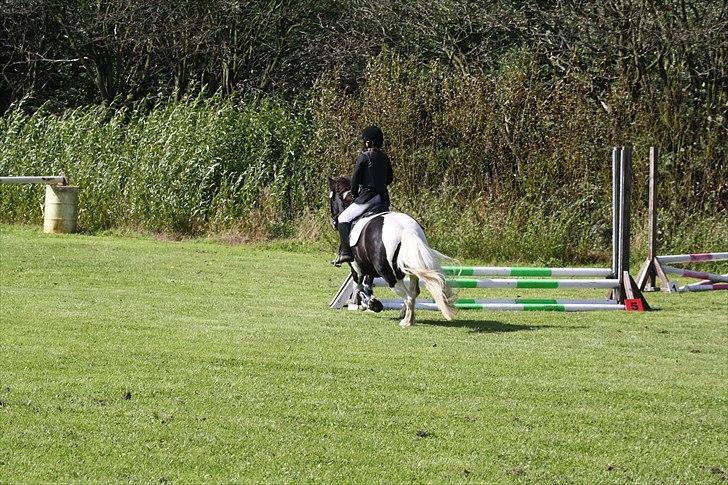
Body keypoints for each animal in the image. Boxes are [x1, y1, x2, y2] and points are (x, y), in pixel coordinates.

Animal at [328, 176, 456, 328]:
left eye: (331, 198)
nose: (333, 222)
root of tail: (405, 230)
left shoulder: (356, 268)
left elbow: (358, 287)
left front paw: (370, 304)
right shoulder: (370, 269)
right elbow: (367, 286)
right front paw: (371, 303)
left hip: (389, 275)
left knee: (408, 295)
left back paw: (406, 321)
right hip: (411, 266)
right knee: (414, 292)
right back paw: (406, 315)